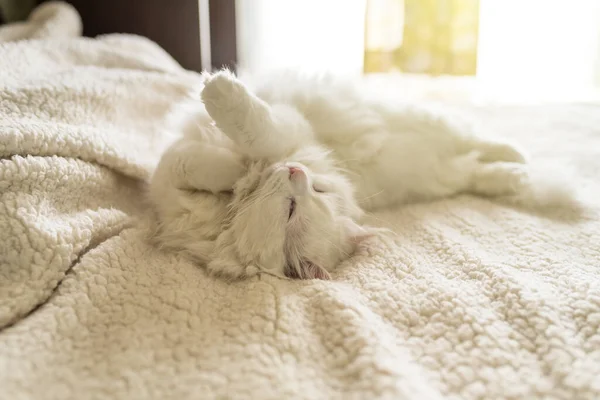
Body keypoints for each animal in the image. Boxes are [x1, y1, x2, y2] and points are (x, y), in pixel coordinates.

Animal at [148, 69, 560, 282]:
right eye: (314, 192)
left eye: (296, 206)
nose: (295, 170)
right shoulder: (169, 183)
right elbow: (198, 164)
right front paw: (240, 174)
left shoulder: (292, 130)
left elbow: (257, 135)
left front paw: (221, 94)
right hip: (440, 159)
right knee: (478, 161)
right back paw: (516, 167)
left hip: (434, 132)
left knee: (481, 142)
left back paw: (517, 159)